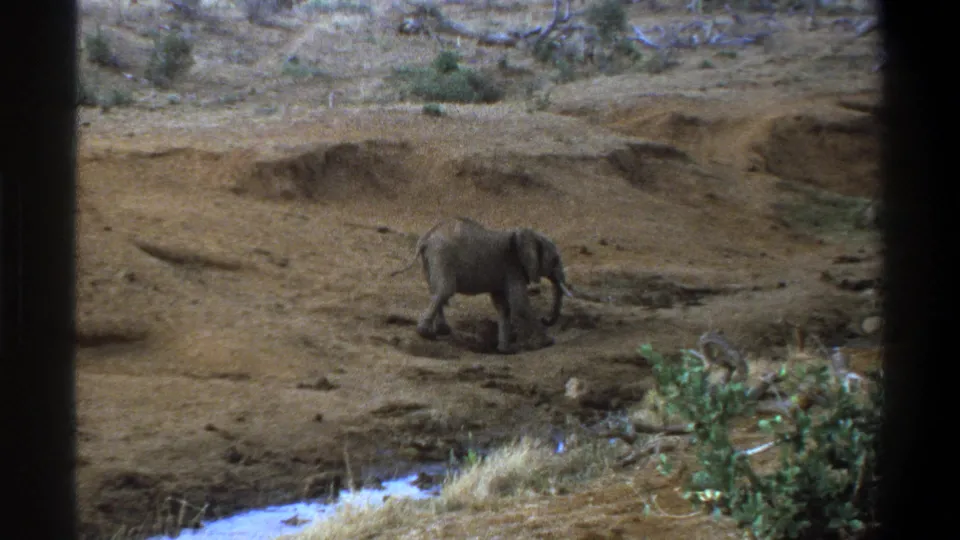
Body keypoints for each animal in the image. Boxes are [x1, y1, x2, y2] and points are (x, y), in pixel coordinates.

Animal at [390, 217, 573, 354]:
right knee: (444, 290)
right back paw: (426, 334)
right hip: (442, 256)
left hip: (430, 260)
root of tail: (426, 238)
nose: (546, 319)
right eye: (555, 260)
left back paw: (441, 331)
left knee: (435, 291)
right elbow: (519, 304)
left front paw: (505, 350)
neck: (526, 233)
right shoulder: (513, 267)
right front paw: (548, 342)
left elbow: (503, 306)